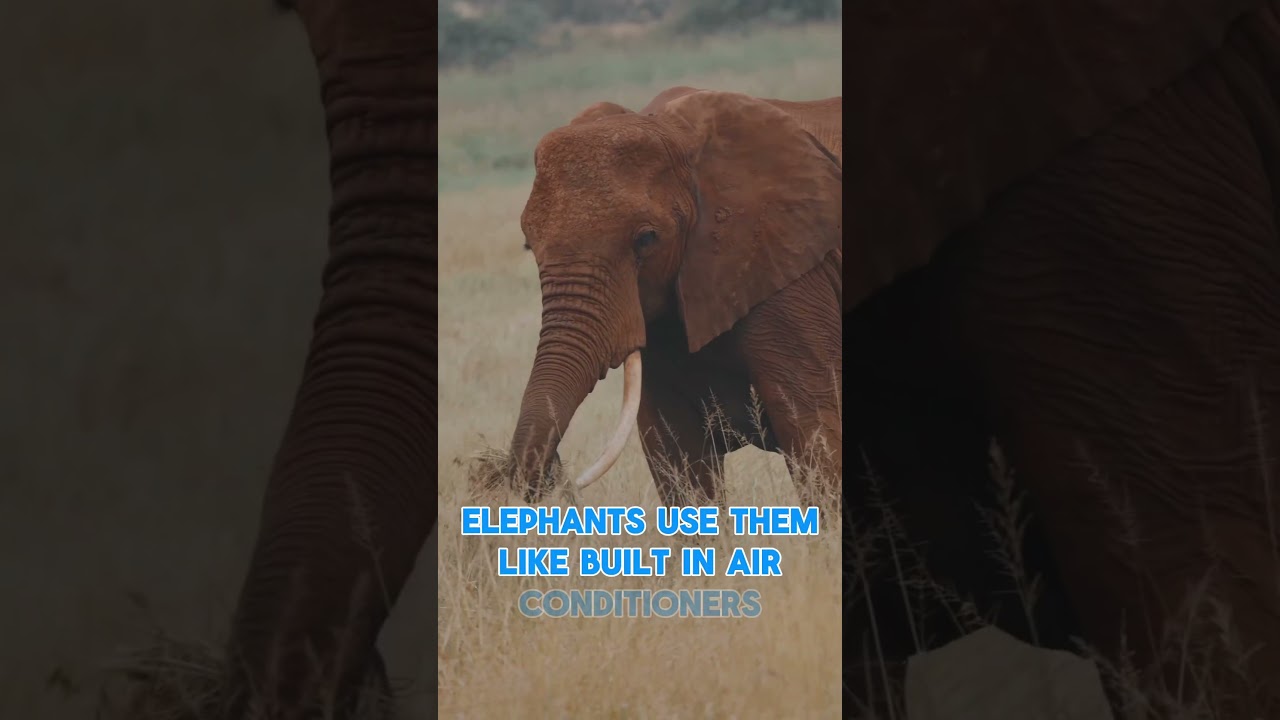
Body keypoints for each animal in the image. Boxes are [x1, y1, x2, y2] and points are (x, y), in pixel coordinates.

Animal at [505, 86, 844, 511]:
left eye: (646, 239)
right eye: (528, 245)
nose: (554, 473)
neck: (672, 132)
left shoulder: (791, 274)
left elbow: (815, 431)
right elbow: (677, 456)